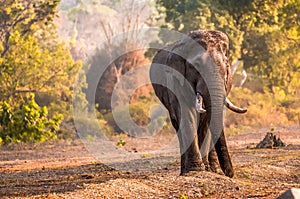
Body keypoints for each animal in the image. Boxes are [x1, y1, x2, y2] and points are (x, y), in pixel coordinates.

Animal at [150, 30, 246, 178]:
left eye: (226, 67)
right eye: (196, 67)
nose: (230, 173)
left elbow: (206, 119)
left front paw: (205, 168)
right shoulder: (176, 79)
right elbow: (186, 113)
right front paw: (195, 169)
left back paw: (213, 169)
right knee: (177, 124)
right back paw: (185, 171)